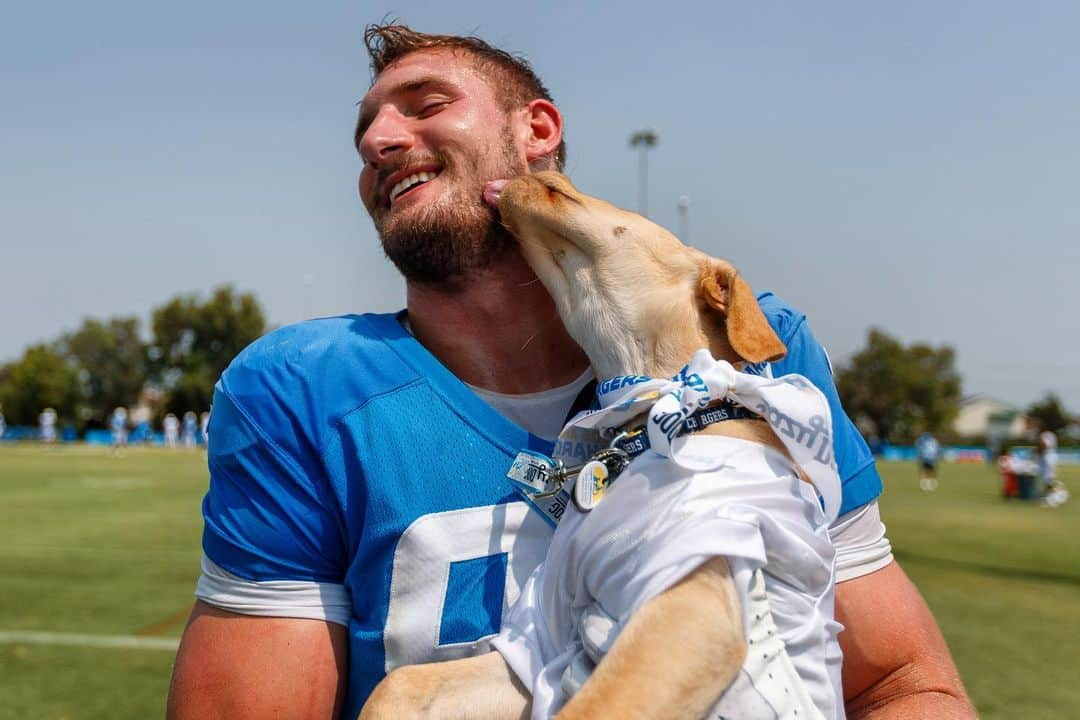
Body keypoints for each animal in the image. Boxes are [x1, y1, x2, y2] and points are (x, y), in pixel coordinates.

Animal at [362, 174, 842, 720]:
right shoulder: (541, 646)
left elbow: (592, 707)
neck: (666, 419)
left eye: (564, 189)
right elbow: (397, 686)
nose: (534, 174)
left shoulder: (693, 613)